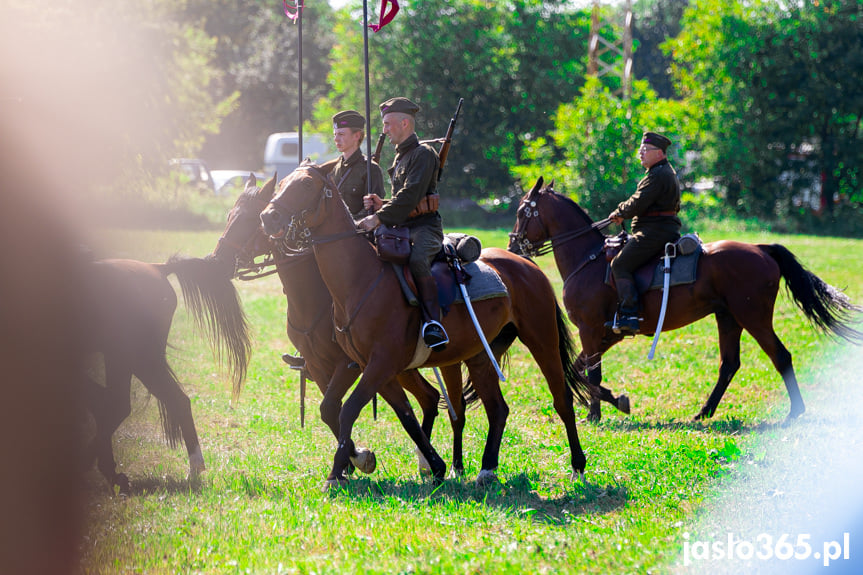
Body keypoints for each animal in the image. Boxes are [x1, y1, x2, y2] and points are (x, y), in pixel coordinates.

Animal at [258, 162, 592, 486]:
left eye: (306, 185)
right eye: (282, 183)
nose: (268, 217)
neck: (360, 280)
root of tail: (526, 264)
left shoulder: (379, 365)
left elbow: (349, 410)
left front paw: (337, 473)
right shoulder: (367, 366)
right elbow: (392, 413)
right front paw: (435, 465)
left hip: (541, 339)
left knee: (562, 398)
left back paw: (577, 467)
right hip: (479, 356)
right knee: (497, 408)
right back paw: (486, 469)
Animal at [506, 179, 863, 424]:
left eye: (523, 211)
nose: (512, 247)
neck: (588, 259)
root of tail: (761, 248)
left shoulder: (591, 329)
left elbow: (589, 373)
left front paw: (600, 411)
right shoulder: (605, 334)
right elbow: (580, 369)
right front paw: (604, 406)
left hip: (754, 318)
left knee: (781, 356)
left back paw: (795, 412)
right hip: (728, 318)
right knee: (729, 364)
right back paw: (704, 412)